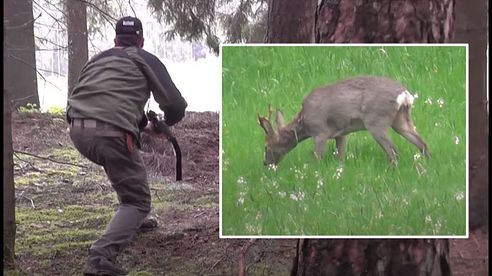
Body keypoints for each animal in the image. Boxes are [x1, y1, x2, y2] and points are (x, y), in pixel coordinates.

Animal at [258, 75, 430, 166]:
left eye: (266, 146)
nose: (266, 163)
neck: (304, 122)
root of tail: (404, 95)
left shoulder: (320, 131)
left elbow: (317, 157)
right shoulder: (340, 134)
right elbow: (340, 156)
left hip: (376, 122)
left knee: (394, 151)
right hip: (400, 120)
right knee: (422, 143)